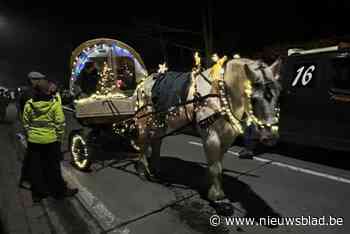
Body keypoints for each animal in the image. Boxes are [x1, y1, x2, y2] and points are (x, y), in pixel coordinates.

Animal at [133, 56, 280, 212]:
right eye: (254, 98)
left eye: (278, 95)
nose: (270, 137)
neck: (222, 93)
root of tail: (144, 82)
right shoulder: (212, 136)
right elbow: (215, 168)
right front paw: (219, 198)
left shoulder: (226, 138)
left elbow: (216, 164)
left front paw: (207, 188)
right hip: (145, 119)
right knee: (143, 140)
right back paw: (142, 169)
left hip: (160, 121)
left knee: (156, 141)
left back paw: (156, 170)